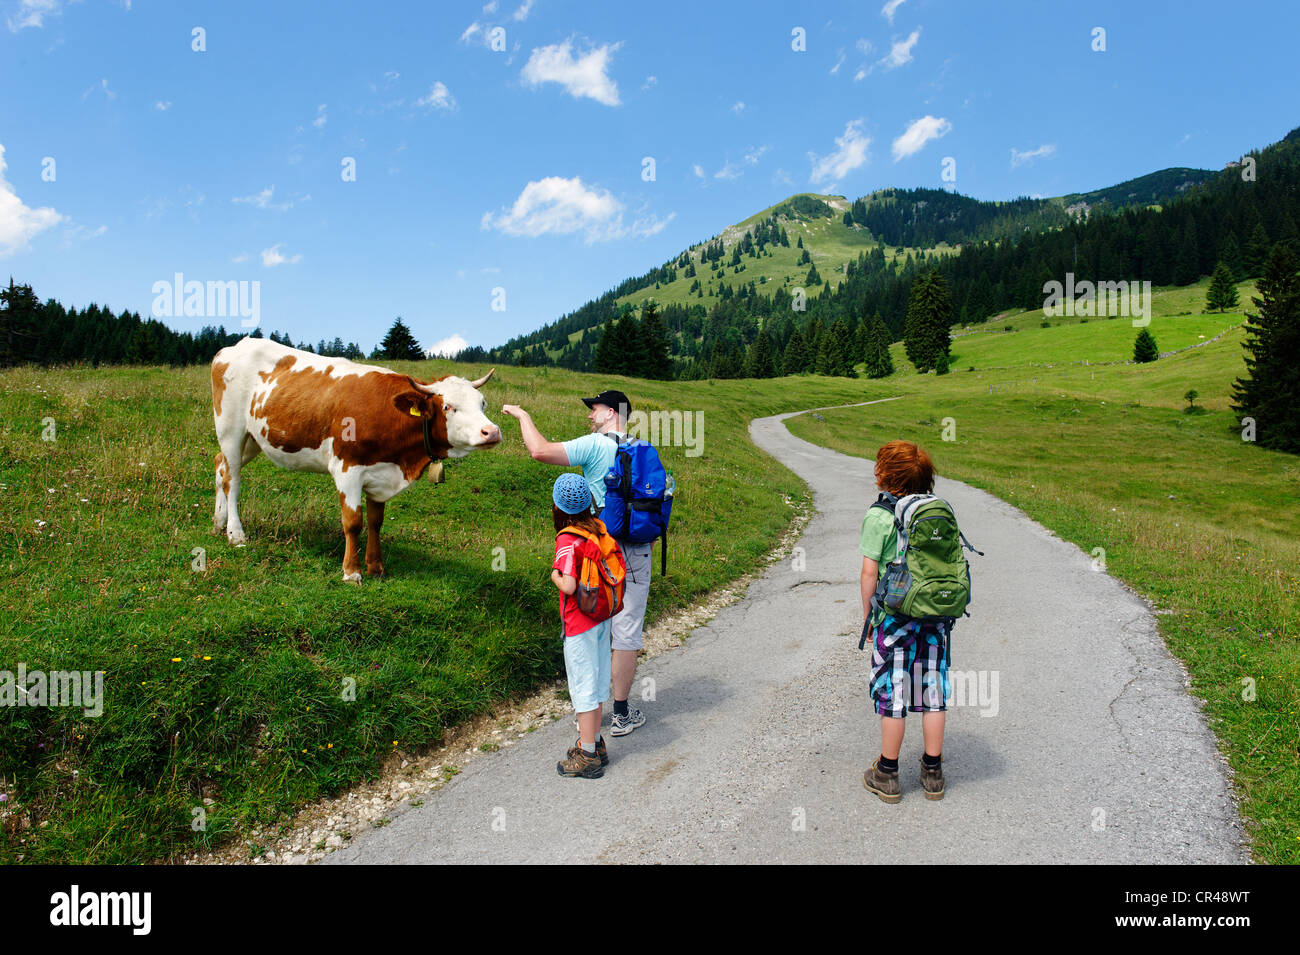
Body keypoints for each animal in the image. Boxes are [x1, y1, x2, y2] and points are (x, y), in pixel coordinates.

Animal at [210, 340, 499, 587]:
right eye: (448, 407)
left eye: (482, 403)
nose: (492, 432)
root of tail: (234, 346)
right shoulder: (347, 468)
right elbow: (353, 522)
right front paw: (351, 571)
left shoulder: (381, 473)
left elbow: (375, 522)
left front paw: (376, 567)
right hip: (231, 429)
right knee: (232, 479)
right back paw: (235, 533)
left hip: (253, 439)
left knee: (220, 467)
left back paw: (218, 522)